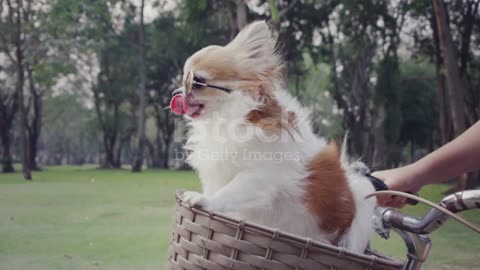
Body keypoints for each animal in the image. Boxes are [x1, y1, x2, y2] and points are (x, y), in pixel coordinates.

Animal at [169, 21, 376, 253]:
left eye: (197, 82)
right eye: (184, 80)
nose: (176, 92)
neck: (225, 118)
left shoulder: (260, 178)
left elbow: (228, 192)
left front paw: (205, 200)